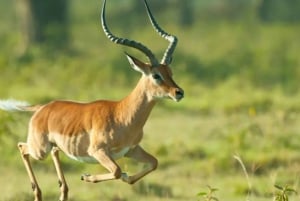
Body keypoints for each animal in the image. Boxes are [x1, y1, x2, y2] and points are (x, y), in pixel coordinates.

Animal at [0, 0, 184, 201]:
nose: (178, 92)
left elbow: (153, 163)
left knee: (54, 153)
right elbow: (116, 171)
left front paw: (126, 177)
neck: (122, 115)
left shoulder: (131, 149)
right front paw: (86, 176)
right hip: (39, 149)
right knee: (21, 147)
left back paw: (62, 191)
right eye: (156, 75)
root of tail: (43, 108)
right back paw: (38, 193)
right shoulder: (98, 151)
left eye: (170, 72)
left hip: (53, 147)